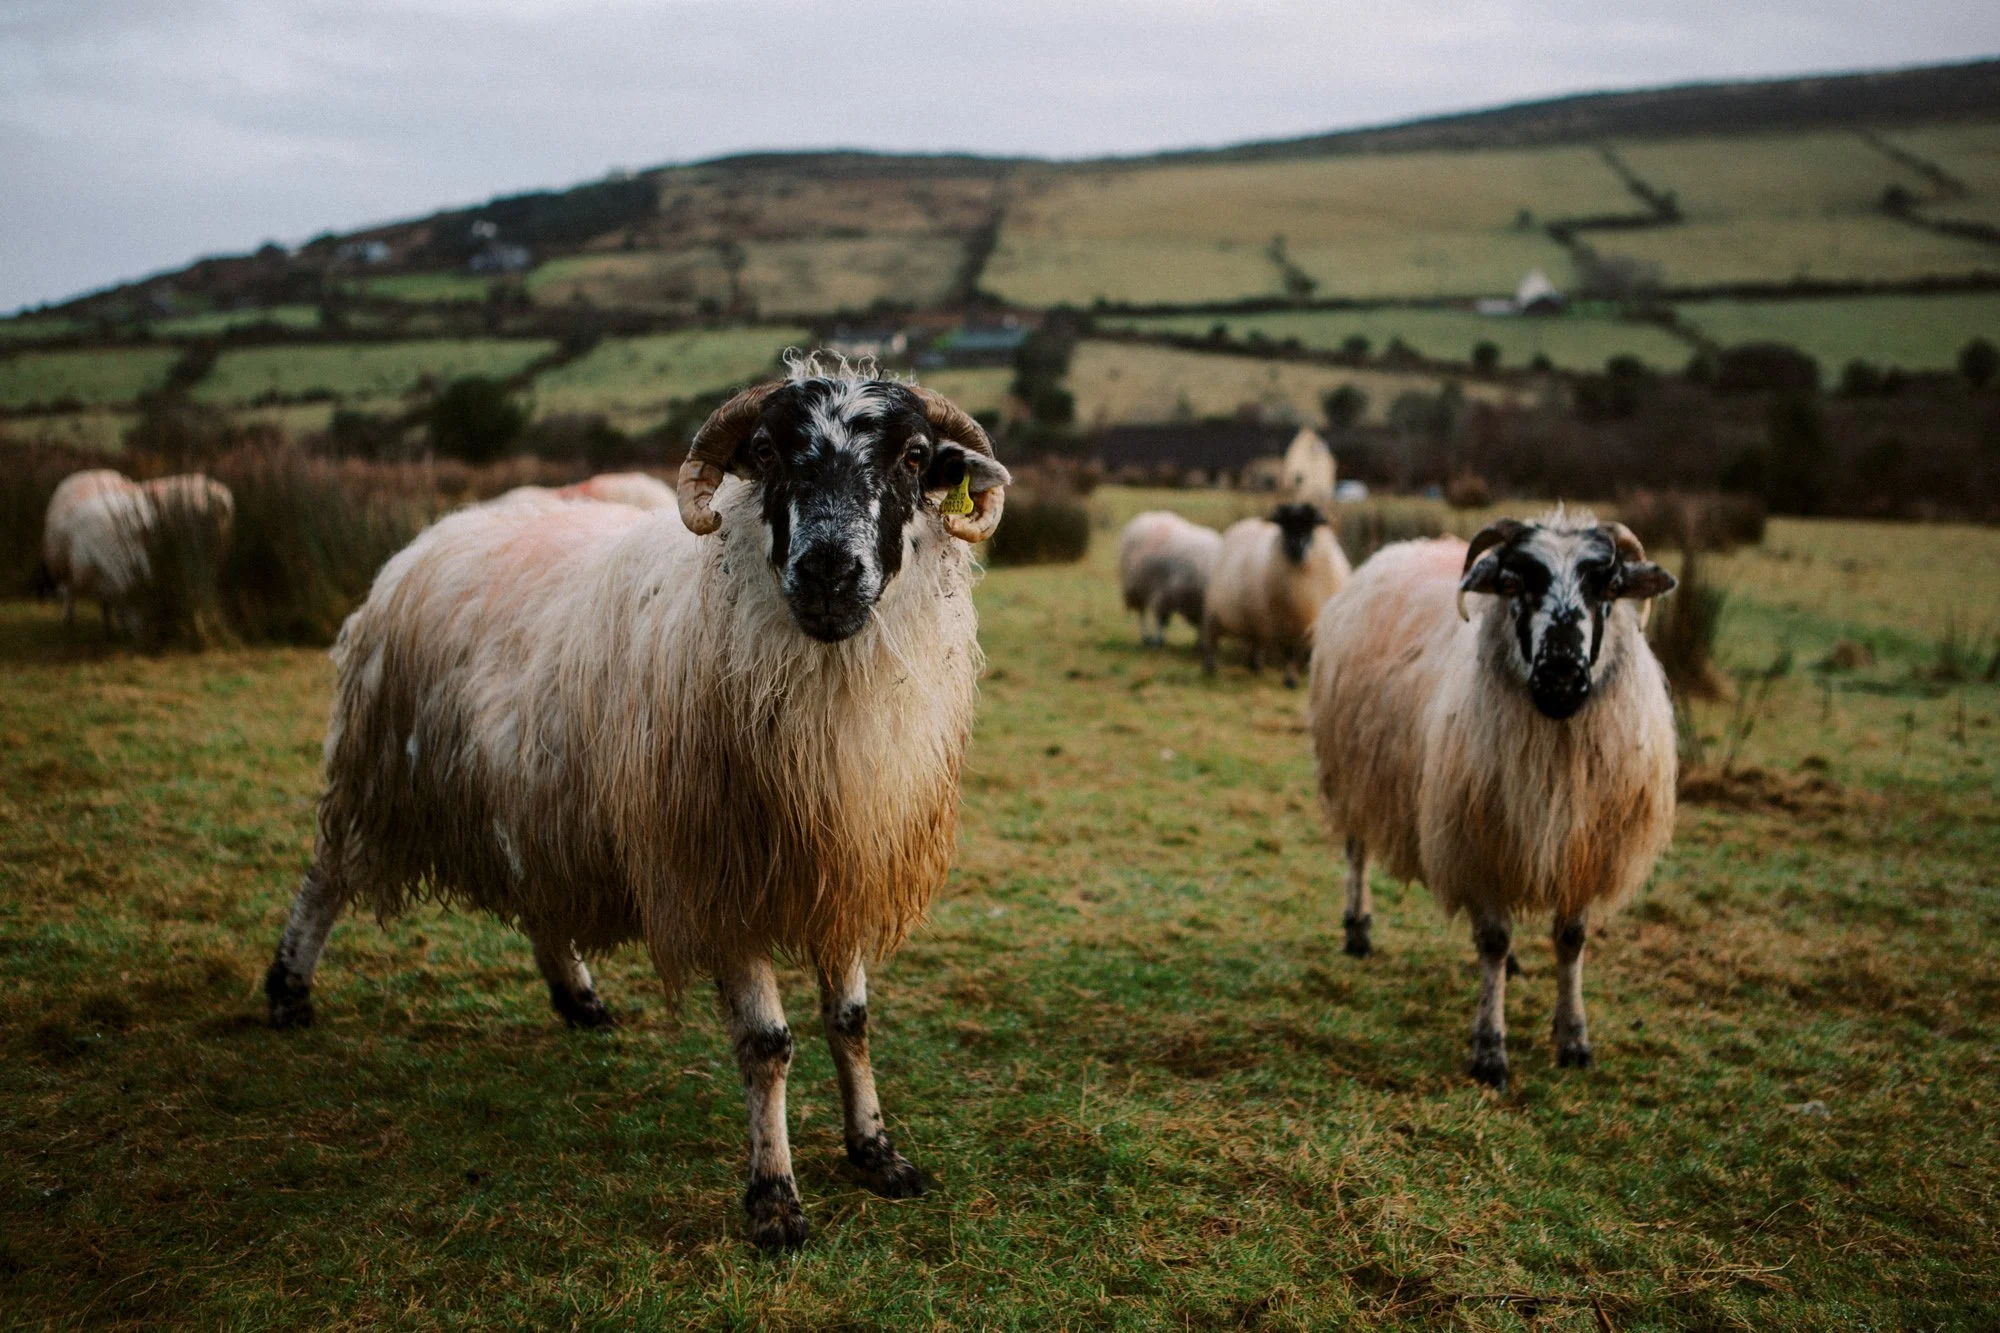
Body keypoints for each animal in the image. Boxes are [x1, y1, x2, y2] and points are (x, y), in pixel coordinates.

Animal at [261, 360, 1010, 1251]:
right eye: (766, 449)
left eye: (914, 456)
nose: (829, 570)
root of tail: (438, 531)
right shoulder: (714, 872)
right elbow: (767, 1044)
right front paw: (774, 1200)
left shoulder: (840, 859)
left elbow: (852, 1021)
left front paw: (876, 1151)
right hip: (378, 769)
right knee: (326, 876)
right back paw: (287, 990)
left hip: (533, 800)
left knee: (538, 902)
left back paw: (578, 997)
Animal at [1118, 510, 1221, 646]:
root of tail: (1144, 517)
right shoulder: (1163, 593)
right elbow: (1160, 621)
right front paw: (1158, 640)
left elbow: (1201, 624)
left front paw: (1199, 641)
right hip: (1137, 588)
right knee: (1142, 613)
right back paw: (1145, 636)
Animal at [1202, 502, 1351, 687]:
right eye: (1285, 524)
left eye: (1311, 524)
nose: (1296, 547)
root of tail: (1245, 523)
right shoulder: (1284, 623)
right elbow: (1289, 652)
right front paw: (1290, 680)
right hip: (1213, 611)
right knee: (1211, 639)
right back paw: (1210, 668)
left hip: (1254, 617)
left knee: (1256, 641)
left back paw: (1255, 667)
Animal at [1306, 511, 1678, 1089]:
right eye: (1515, 583)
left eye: (1606, 585)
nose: (1561, 676)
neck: (1555, 739)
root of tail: (1408, 546)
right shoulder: (1478, 845)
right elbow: (1494, 941)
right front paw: (1489, 1051)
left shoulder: (1584, 849)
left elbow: (1571, 939)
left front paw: (1574, 1039)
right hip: (1355, 770)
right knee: (1357, 850)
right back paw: (1358, 930)